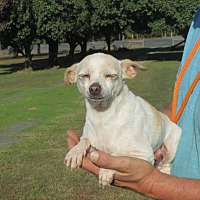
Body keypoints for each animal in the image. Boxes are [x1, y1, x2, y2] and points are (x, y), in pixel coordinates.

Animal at [63, 52, 181, 187]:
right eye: (84, 76)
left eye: (110, 76)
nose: (94, 88)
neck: (103, 115)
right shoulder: (87, 138)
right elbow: (84, 141)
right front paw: (75, 152)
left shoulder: (142, 152)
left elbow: (118, 153)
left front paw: (106, 170)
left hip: (170, 149)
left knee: (167, 164)